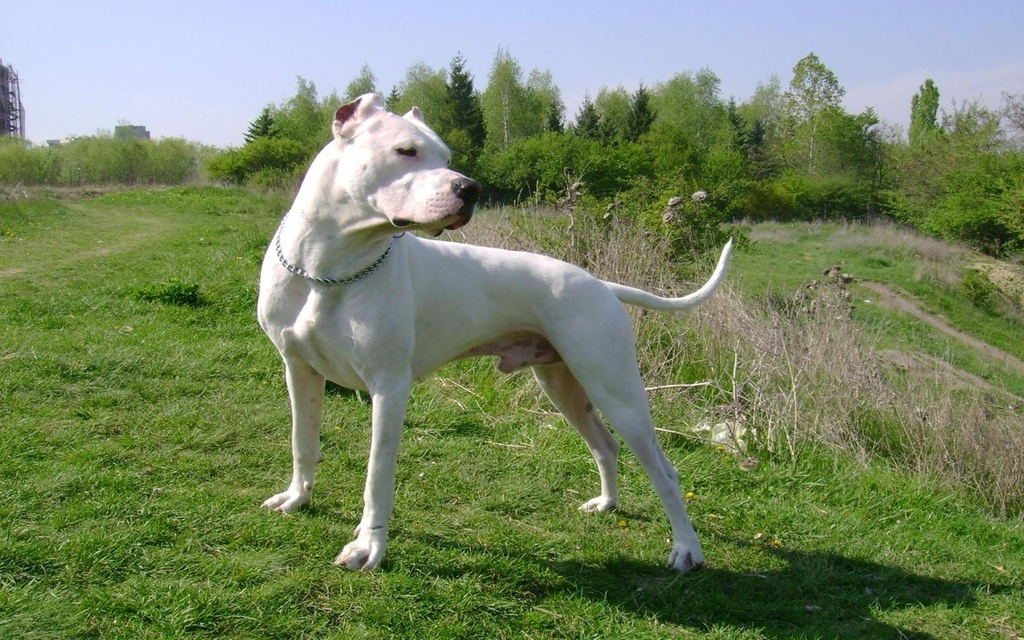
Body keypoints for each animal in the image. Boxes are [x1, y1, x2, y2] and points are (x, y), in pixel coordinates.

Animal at [260, 93, 733, 569]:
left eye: (446, 157)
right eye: (406, 151)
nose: (470, 189)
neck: (329, 270)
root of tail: (601, 284)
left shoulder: (388, 388)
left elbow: (377, 476)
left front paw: (367, 547)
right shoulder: (298, 370)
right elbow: (302, 441)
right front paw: (296, 498)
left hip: (617, 392)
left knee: (664, 470)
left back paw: (687, 548)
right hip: (564, 387)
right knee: (605, 446)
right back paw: (606, 504)